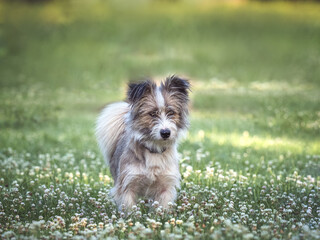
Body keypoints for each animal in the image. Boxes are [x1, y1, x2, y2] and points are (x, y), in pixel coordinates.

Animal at [95, 75, 190, 210]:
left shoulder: (166, 187)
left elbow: (162, 208)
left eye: (171, 113)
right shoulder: (127, 185)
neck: (154, 150)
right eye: (152, 114)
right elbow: (130, 209)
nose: (165, 132)